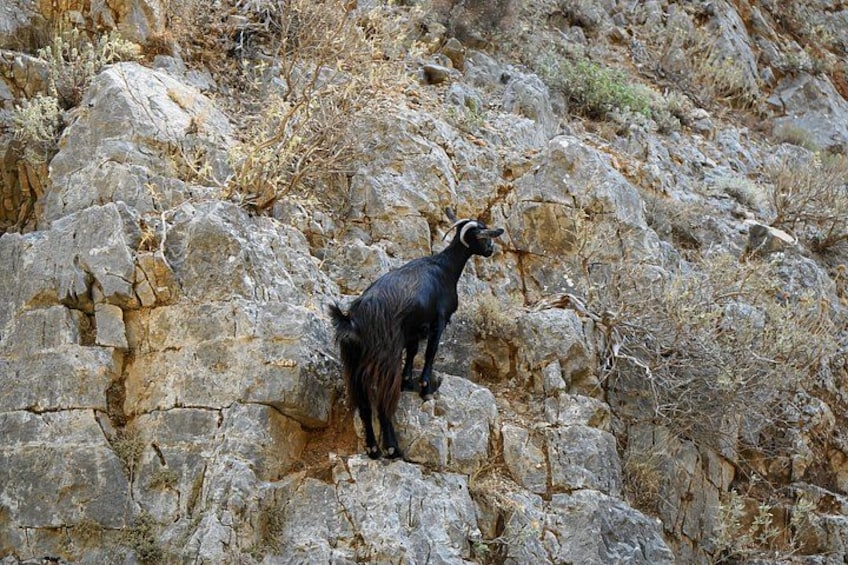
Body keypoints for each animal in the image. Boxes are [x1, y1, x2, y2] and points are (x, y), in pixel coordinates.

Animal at [329, 209, 504, 459]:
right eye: (482, 235)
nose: (491, 249)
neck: (444, 268)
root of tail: (352, 321)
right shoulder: (439, 320)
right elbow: (430, 352)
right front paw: (425, 388)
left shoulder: (412, 331)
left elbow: (412, 353)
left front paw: (407, 381)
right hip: (385, 356)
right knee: (382, 400)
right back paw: (391, 447)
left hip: (352, 363)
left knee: (363, 405)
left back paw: (372, 448)